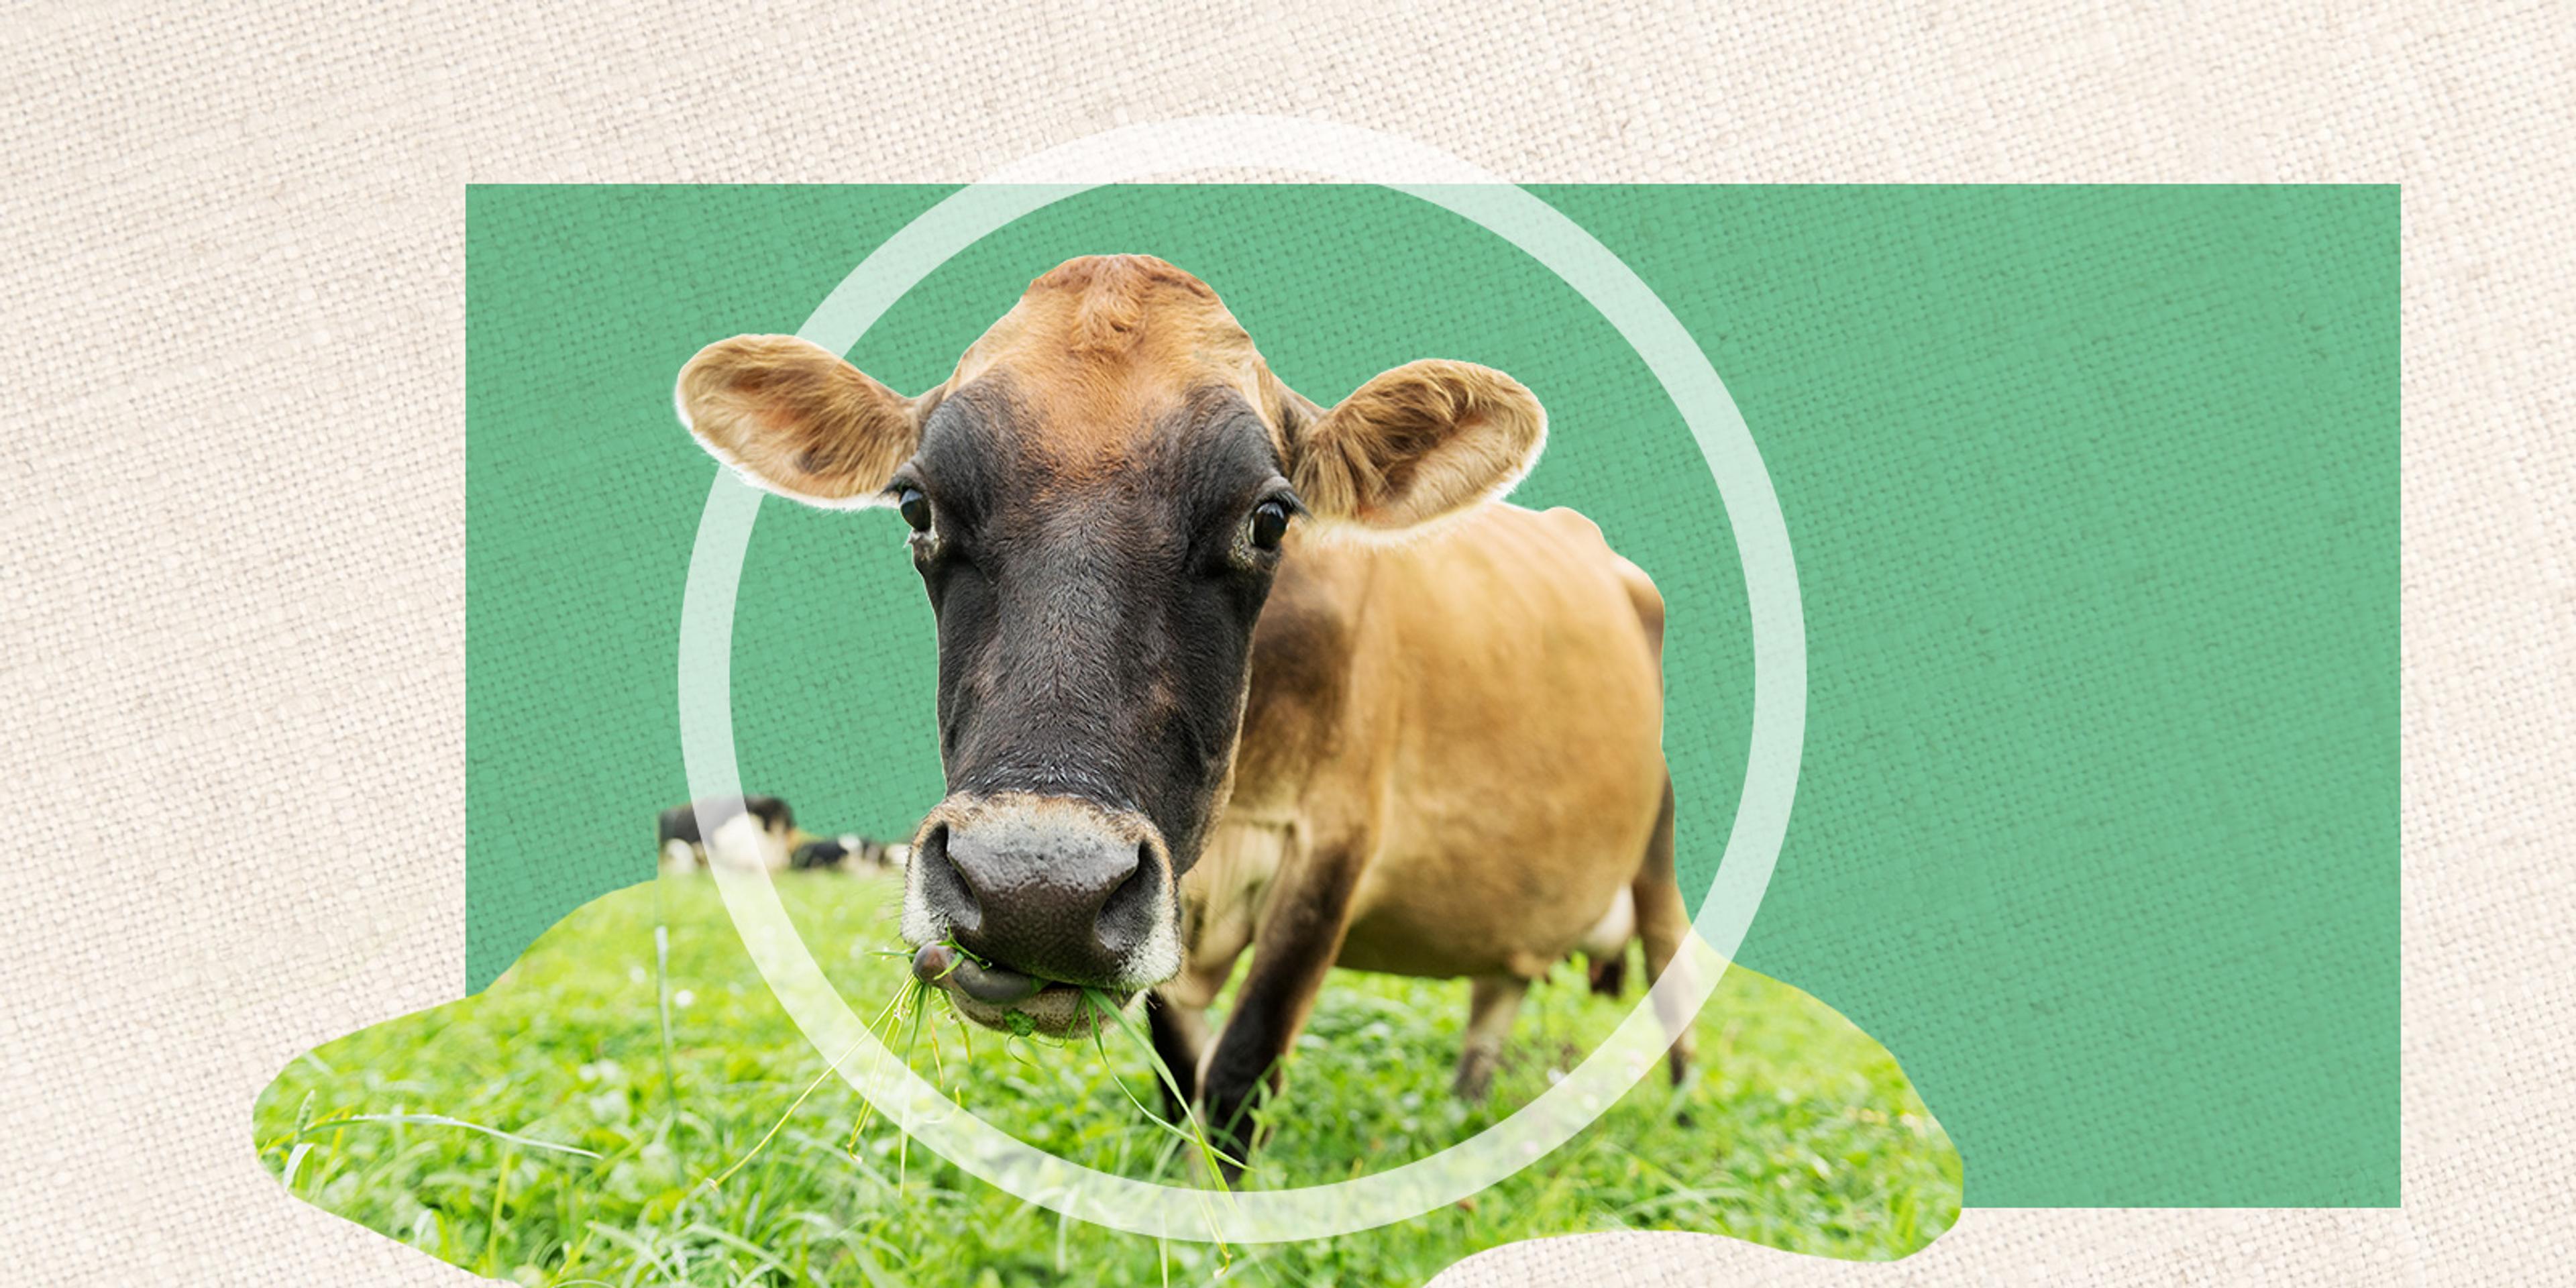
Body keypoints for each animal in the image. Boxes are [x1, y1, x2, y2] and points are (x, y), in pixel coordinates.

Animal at [671, 254, 1694, 1177]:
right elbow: (1176, 1073)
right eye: (917, 504)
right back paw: (1467, 1111)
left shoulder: (1332, 848)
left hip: (1658, 845)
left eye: (1271, 517)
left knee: (1671, 973)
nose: (1037, 893)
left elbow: (1241, 1067)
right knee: (1500, 987)